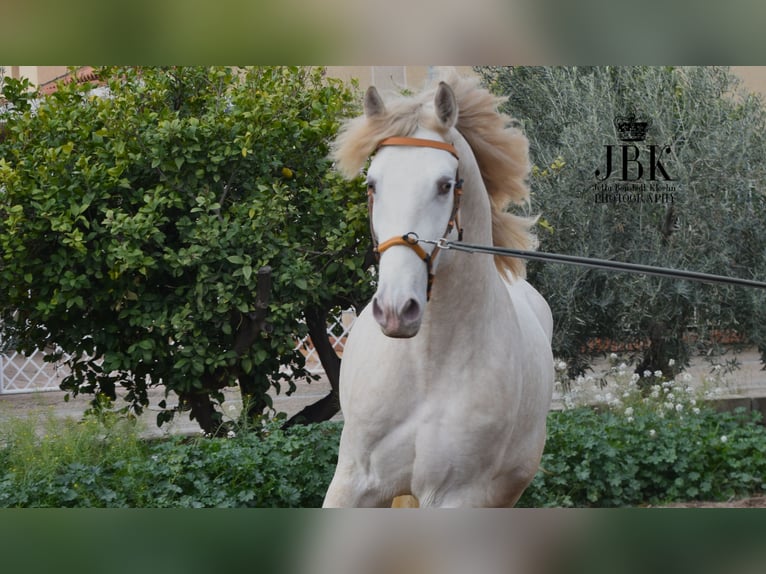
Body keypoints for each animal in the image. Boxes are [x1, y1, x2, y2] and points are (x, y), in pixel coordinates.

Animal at [323, 72, 554, 507]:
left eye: (445, 185)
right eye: (372, 183)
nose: (396, 310)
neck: (425, 367)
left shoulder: (455, 495)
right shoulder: (354, 482)